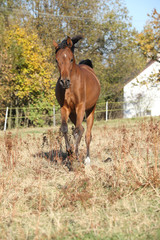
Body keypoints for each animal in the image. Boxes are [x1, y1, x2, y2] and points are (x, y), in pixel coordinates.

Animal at [52, 35, 100, 164]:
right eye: (57, 60)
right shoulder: (64, 108)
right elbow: (65, 128)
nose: (64, 82)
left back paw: (87, 159)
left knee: (87, 133)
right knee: (82, 129)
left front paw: (77, 154)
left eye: (71, 59)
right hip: (73, 113)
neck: (71, 87)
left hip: (90, 110)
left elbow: (77, 130)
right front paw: (70, 151)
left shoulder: (80, 106)